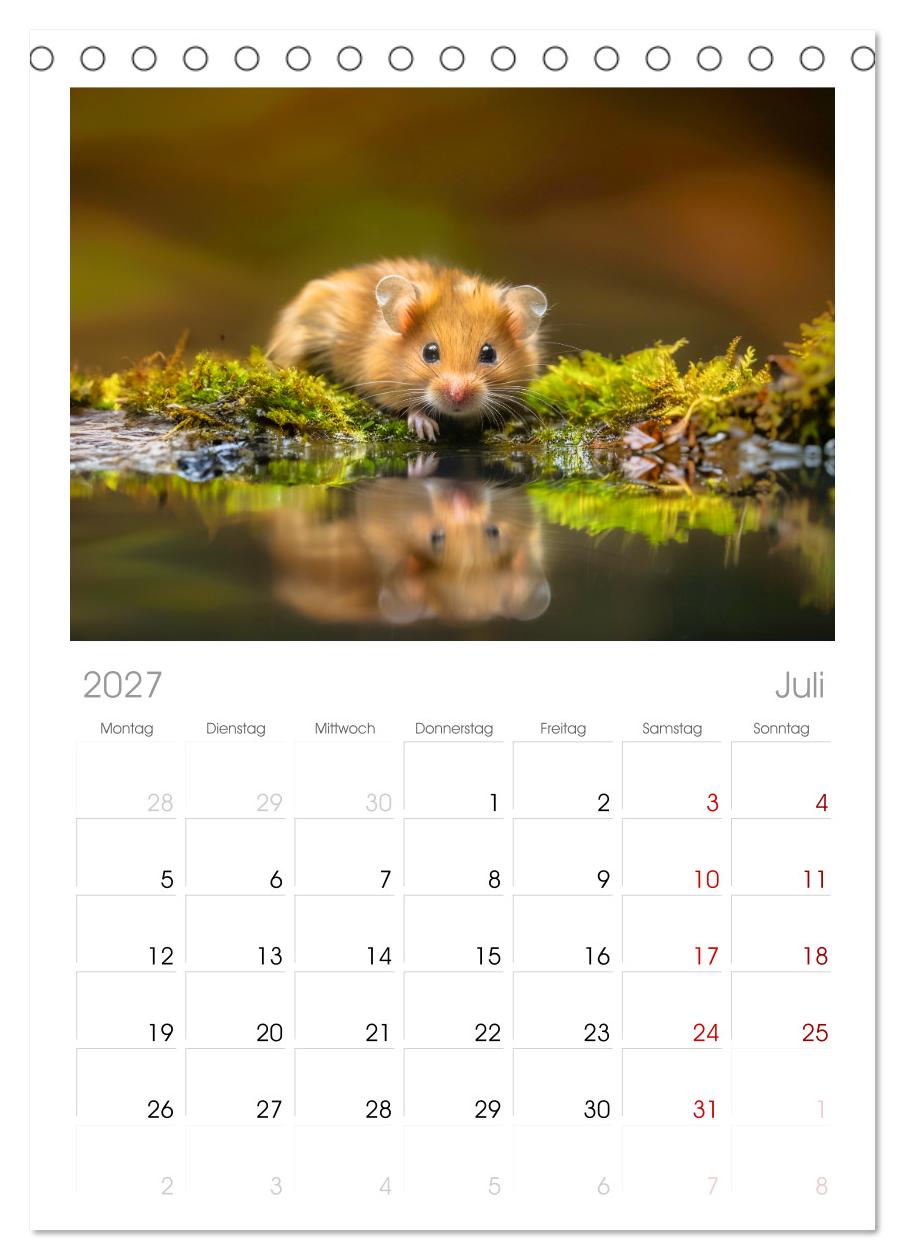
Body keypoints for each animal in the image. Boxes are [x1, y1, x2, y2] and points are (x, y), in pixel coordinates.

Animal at [267, 259, 548, 441]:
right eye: (429, 352)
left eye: (489, 354)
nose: (458, 397)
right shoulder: (381, 382)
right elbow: (408, 406)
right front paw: (426, 429)